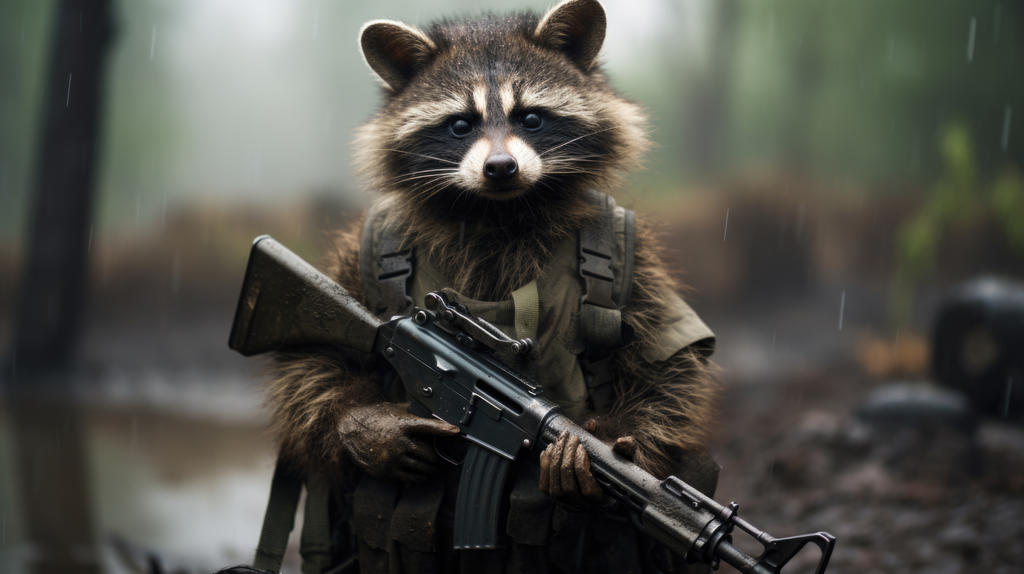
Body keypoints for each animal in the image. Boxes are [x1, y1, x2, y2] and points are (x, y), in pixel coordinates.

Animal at [267, 1, 718, 571]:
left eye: (531, 118)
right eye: (461, 125)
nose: (500, 167)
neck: (496, 213)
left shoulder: (630, 249)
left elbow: (670, 367)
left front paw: (603, 453)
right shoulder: (361, 247)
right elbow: (308, 360)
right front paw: (371, 430)